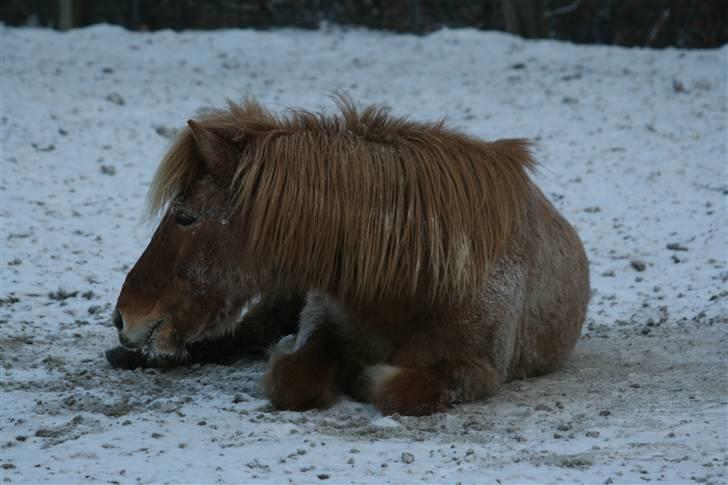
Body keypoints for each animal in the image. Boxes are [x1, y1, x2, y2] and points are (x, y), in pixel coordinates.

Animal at [112, 96, 592, 414]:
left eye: (186, 217)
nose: (124, 316)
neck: (410, 283)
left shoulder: (478, 367)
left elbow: (400, 391)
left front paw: (367, 378)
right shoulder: (317, 326)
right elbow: (291, 380)